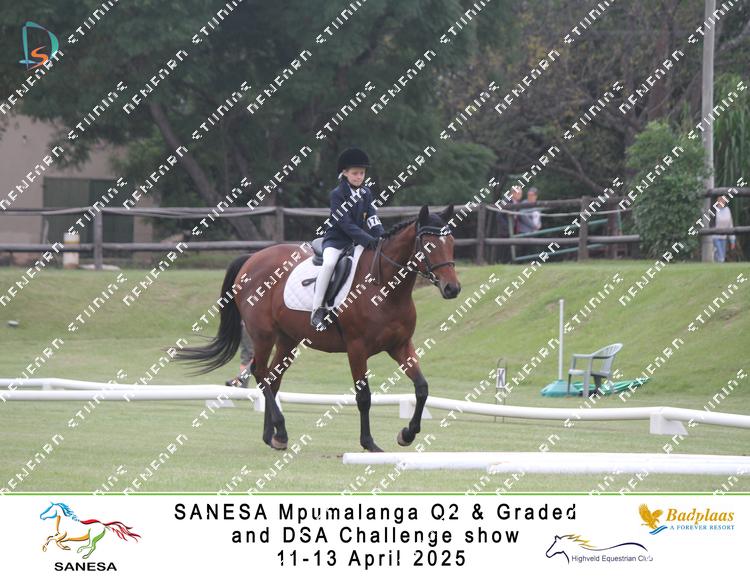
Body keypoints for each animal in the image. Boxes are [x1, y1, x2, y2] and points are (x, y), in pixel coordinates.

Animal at [176, 204, 461, 452]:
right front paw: (369, 443)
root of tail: (252, 258)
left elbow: (422, 388)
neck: (385, 289)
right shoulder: (357, 349)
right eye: (429, 245)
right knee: (259, 372)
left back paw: (273, 437)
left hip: (287, 340)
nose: (452, 289)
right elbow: (364, 397)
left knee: (272, 378)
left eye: (452, 242)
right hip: (263, 335)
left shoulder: (400, 346)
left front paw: (407, 434)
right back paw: (280, 432)